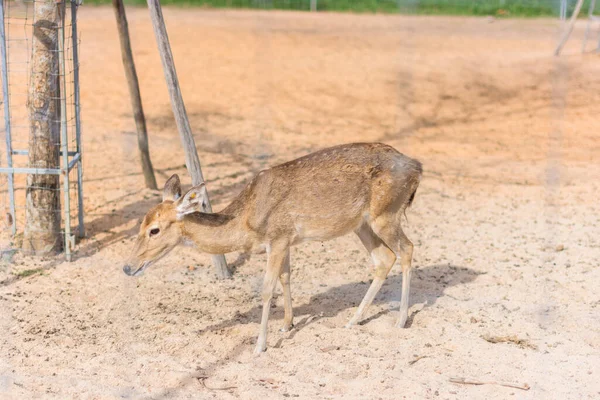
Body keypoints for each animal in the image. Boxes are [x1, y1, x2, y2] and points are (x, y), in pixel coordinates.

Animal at [122, 142, 422, 354]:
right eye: (140, 224)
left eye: (154, 230)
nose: (127, 267)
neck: (245, 222)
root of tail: (417, 167)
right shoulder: (284, 240)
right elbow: (285, 277)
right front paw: (287, 325)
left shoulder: (277, 238)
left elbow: (267, 288)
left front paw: (259, 346)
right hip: (362, 224)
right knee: (384, 258)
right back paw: (354, 320)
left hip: (386, 214)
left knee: (407, 249)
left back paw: (401, 319)